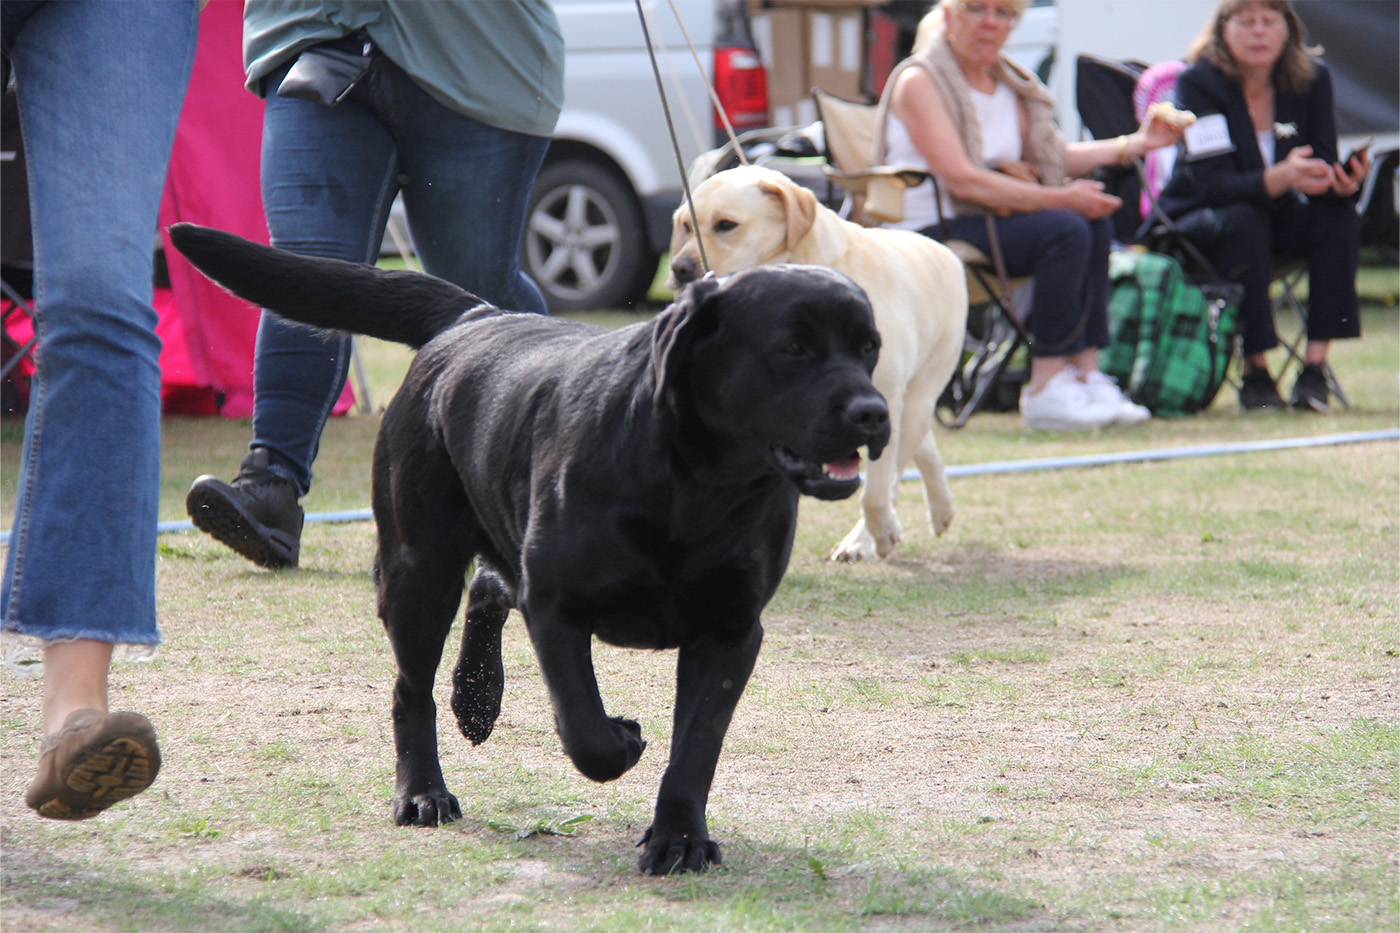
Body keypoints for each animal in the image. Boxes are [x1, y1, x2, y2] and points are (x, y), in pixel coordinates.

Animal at [163, 225, 884, 874]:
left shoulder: (731, 629)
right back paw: (424, 789)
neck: (693, 486)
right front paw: (622, 738)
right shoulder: (558, 605)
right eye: (793, 347)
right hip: (418, 570)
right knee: (411, 687)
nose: (874, 412)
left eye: (869, 347)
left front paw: (680, 836)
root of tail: (475, 316)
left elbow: (696, 746)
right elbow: (585, 729)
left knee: (490, 585)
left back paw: (476, 698)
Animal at [672, 161, 968, 560]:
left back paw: (872, 535)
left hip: (919, 396)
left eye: (726, 225)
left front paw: (877, 535)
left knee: (895, 469)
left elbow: (875, 490)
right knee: (921, 450)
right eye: (685, 225)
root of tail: (943, 250)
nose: (678, 269)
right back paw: (941, 510)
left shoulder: (883, 399)